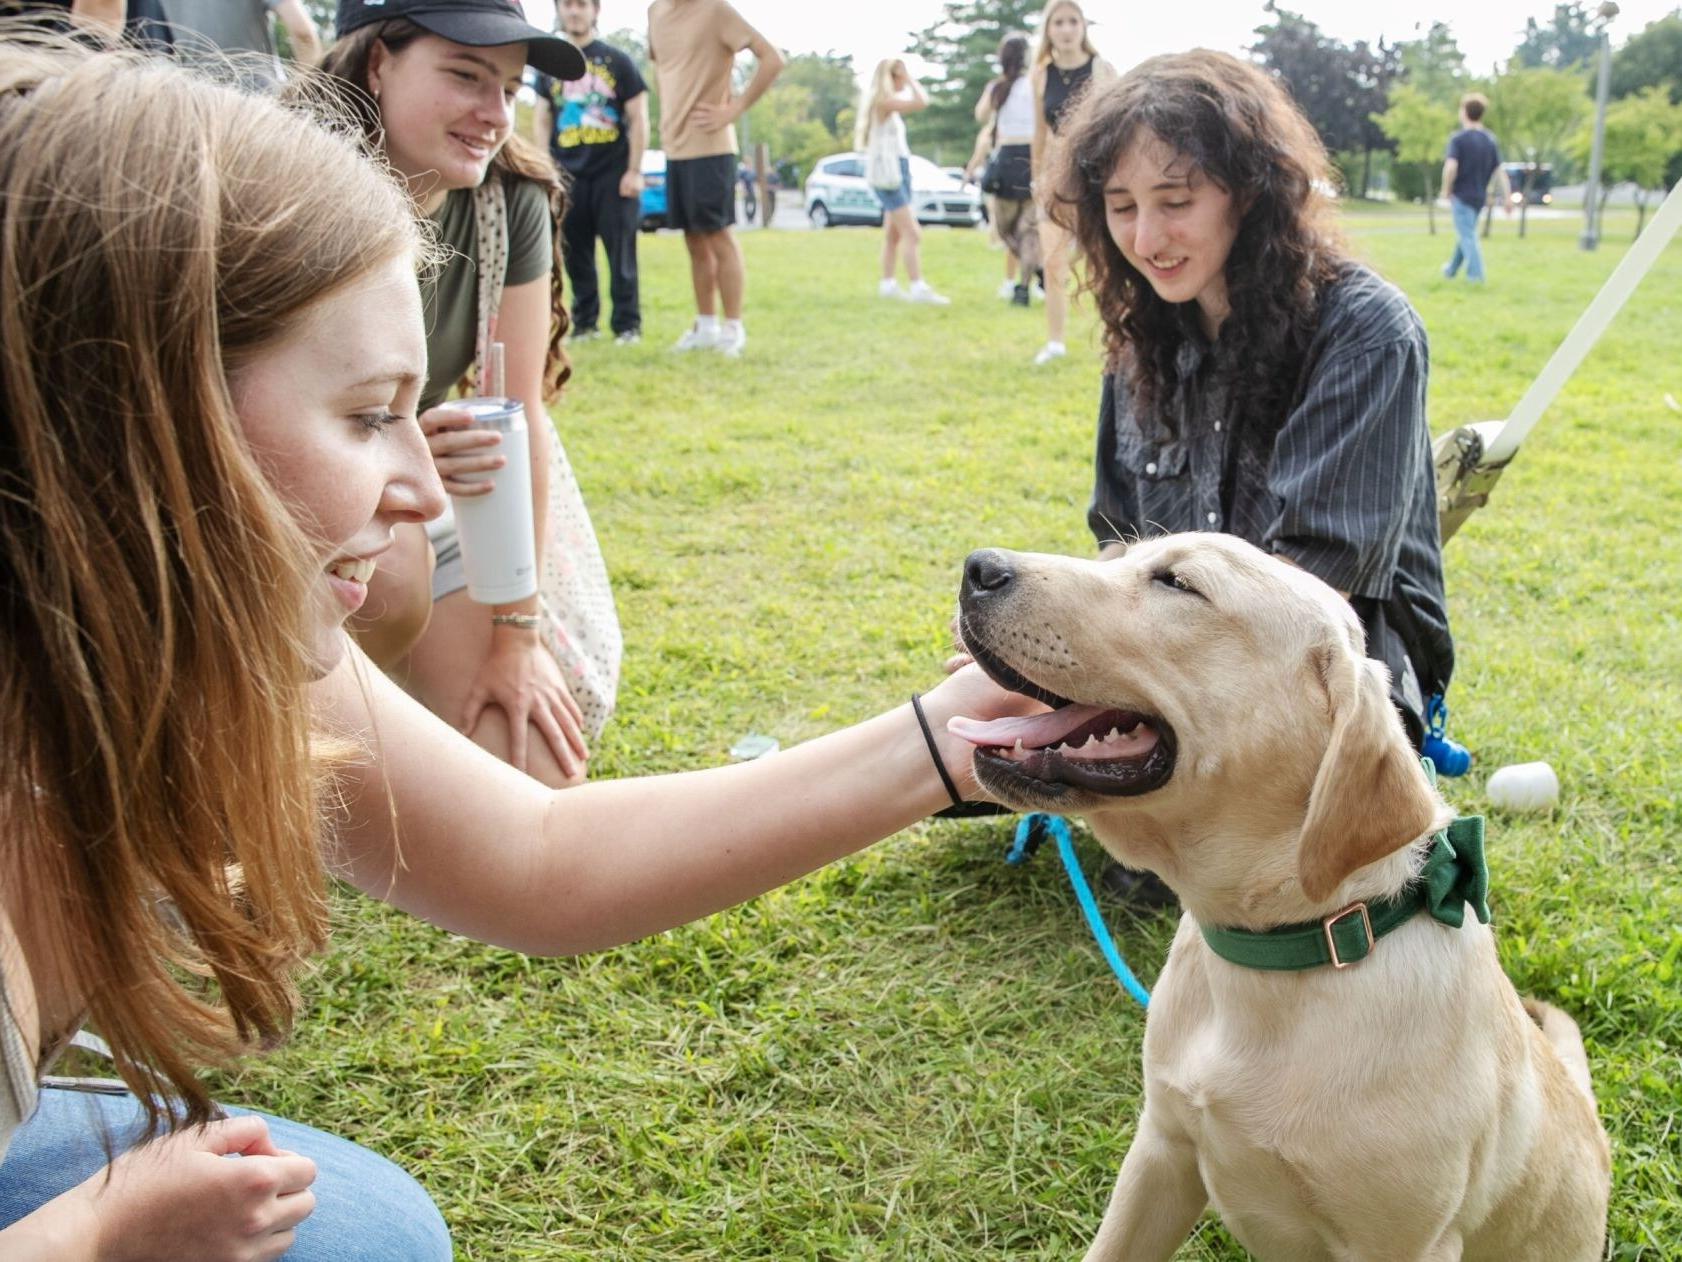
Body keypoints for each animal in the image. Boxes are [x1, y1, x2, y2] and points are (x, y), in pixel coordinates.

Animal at [948, 535, 1601, 1262]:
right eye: (1115, 554)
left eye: (1178, 584)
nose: (977, 567)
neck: (1280, 955)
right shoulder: (1160, 1151)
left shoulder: (1407, 1243)